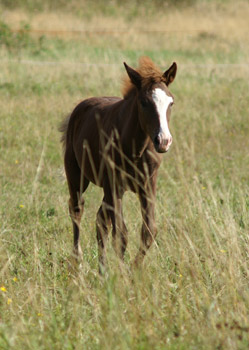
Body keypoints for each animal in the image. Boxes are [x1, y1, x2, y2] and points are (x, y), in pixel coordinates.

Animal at [60, 56, 177, 270]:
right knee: (77, 209)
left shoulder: (148, 185)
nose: (163, 141)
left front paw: (133, 268)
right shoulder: (115, 184)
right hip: (76, 174)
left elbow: (149, 230)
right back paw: (78, 260)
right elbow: (121, 234)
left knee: (100, 220)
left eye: (171, 102)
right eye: (144, 102)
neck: (135, 148)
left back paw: (102, 269)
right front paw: (123, 271)